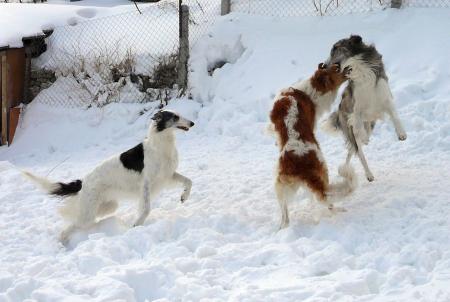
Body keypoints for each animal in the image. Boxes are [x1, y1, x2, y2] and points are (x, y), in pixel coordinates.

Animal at [24, 109, 193, 244]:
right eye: (175, 117)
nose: (192, 123)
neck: (160, 145)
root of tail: (83, 181)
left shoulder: (168, 176)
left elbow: (189, 181)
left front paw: (184, 197)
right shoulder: (146, 184)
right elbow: (145, 209)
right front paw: (136, 225)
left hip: (107, 207)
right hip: (89, 214)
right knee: (69, 227)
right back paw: (62, 244)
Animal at [268, 64, 356, 229]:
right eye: (337, 69)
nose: (348, 68)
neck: (308, 91)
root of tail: (300, 163)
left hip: (280, 186)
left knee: (285, 215)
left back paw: (282, 228)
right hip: (321, 172)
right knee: (327, 200)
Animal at [322, 35, 406, 182]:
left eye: (335, 49)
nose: (324, 66)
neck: (361, 69)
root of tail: (338, 113)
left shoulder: (386, 98)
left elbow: (395, 115)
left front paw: (401, 134)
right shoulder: (355, 109)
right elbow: (358, 124)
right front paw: (364, 137)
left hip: (370, 125)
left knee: (352, 151)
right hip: (351, 131)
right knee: (359, 153)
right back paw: (367, 174)